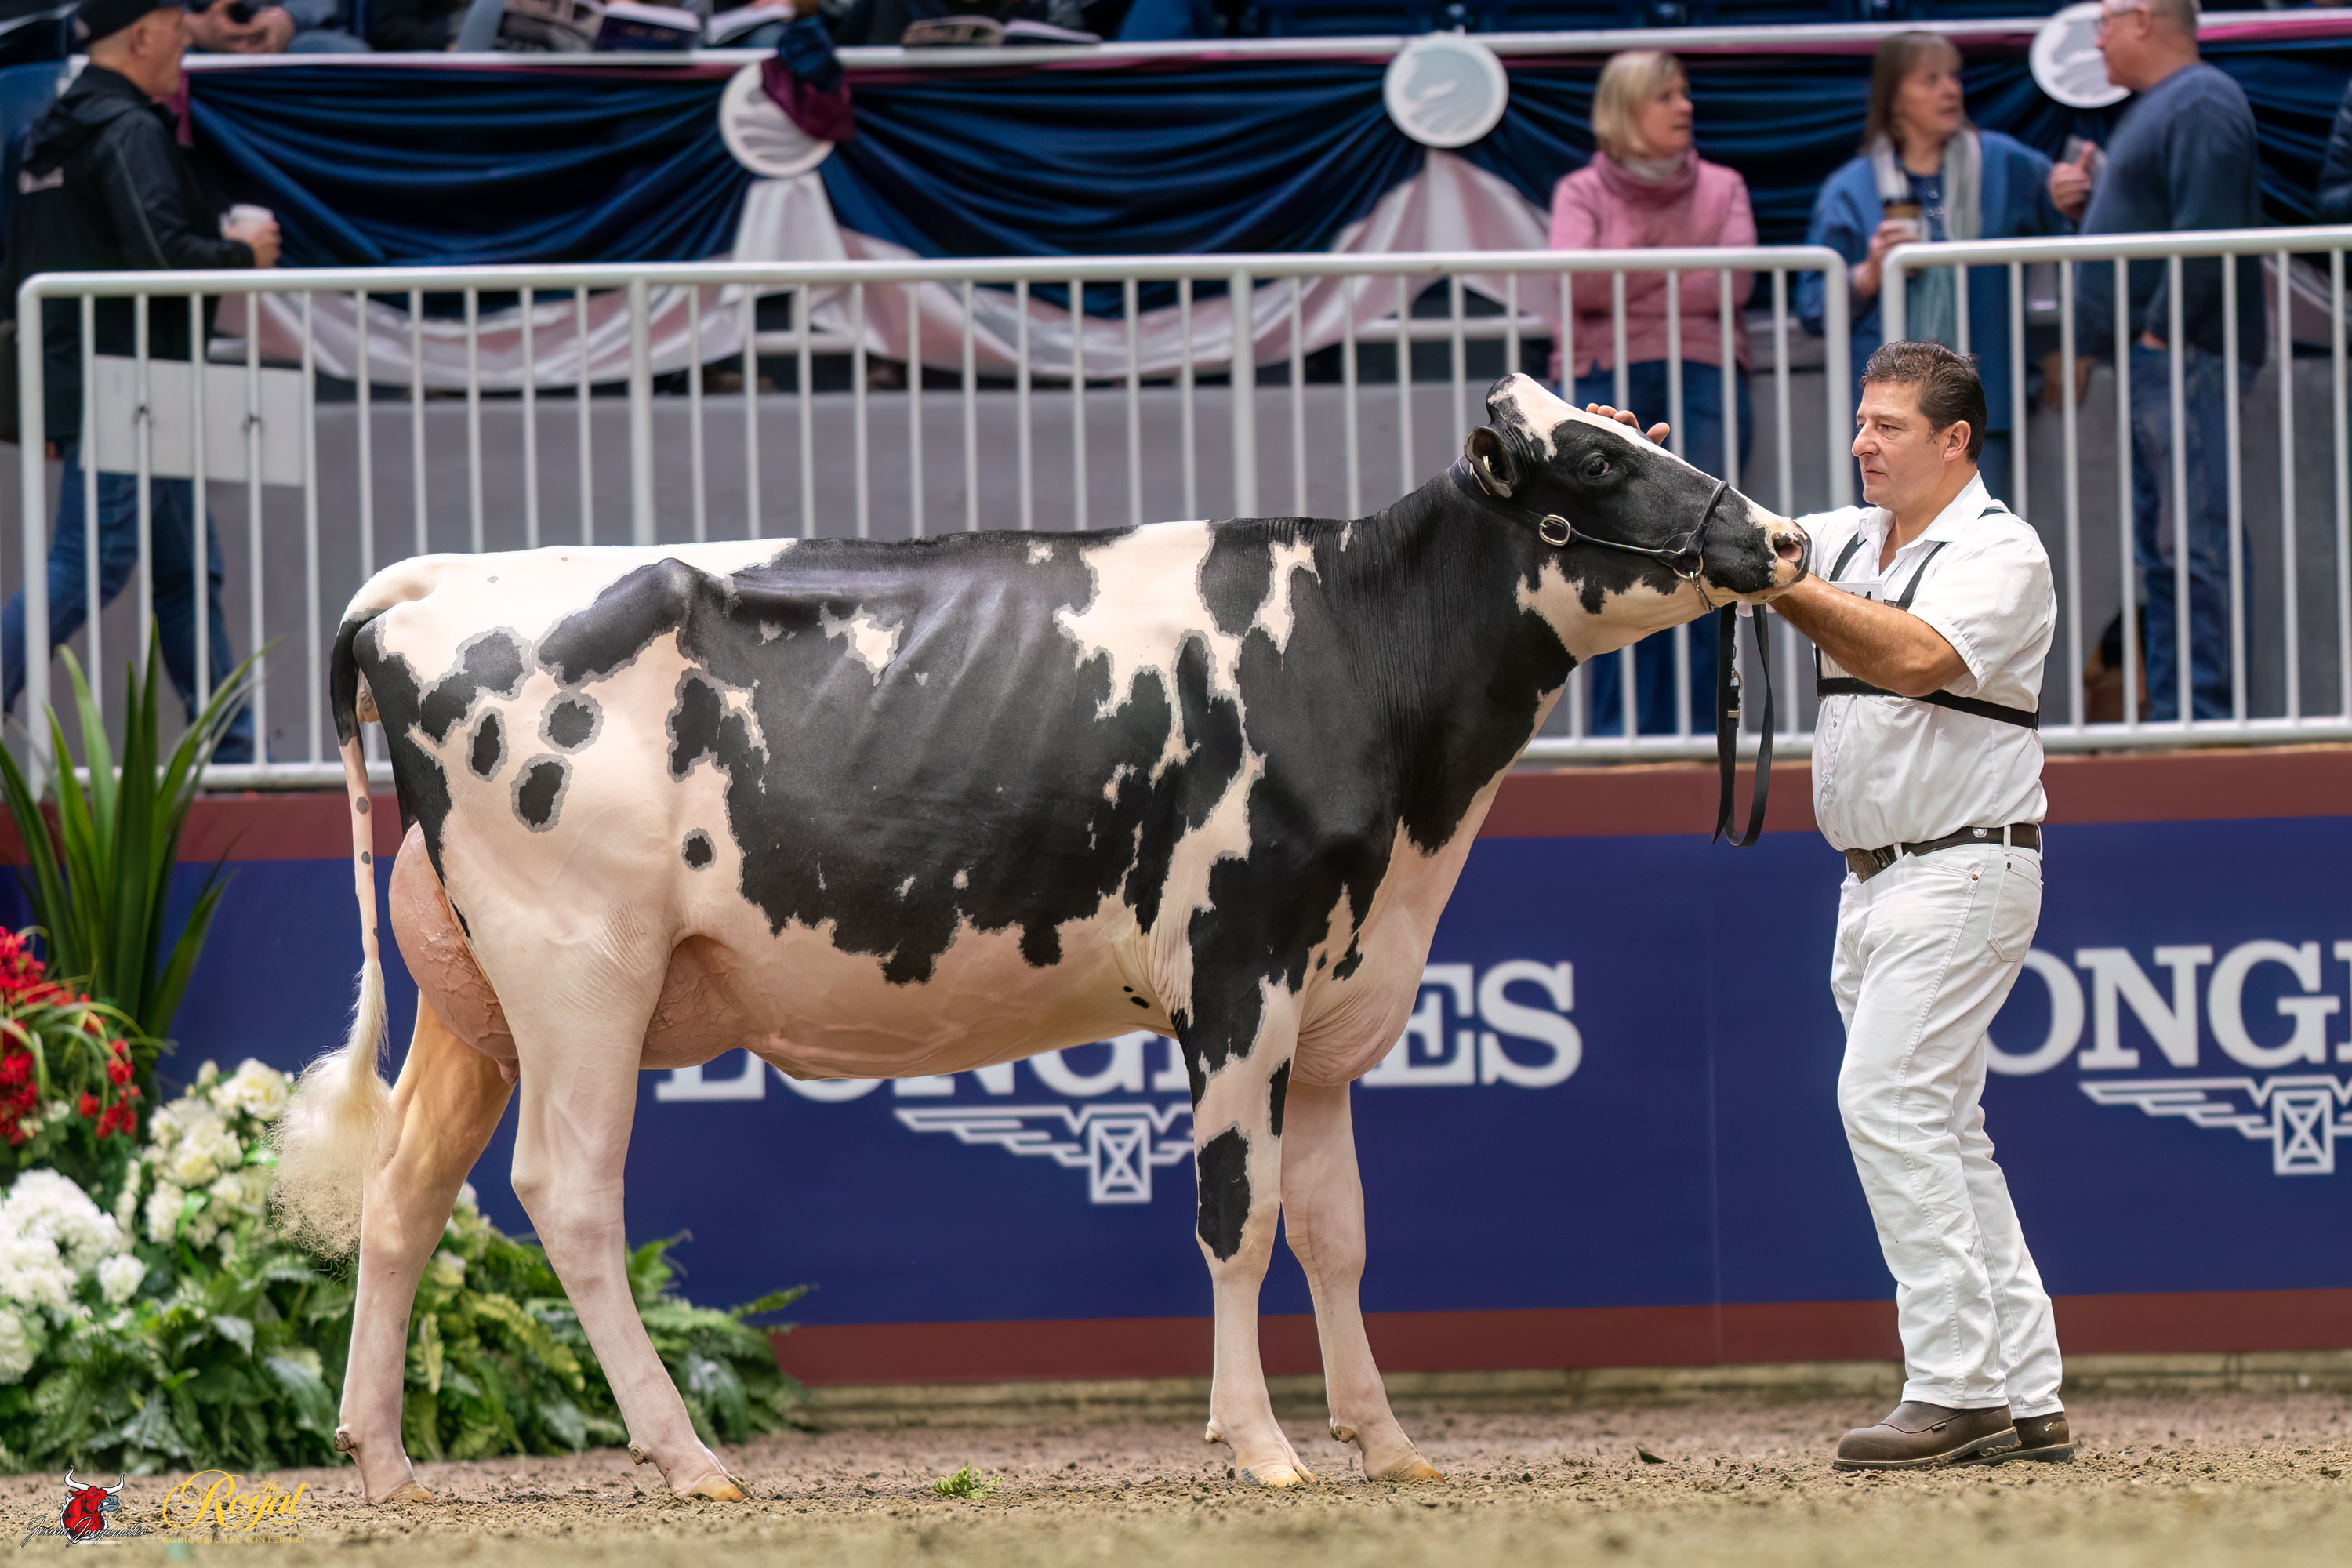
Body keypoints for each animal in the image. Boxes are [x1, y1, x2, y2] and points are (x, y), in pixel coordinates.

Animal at [273, 374, 1807, 1505]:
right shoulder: (1237, 971)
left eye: (1646, 431)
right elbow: (1240, 1220)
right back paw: (687, 1456)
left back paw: (387, 1463)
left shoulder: (1329, 998)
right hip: (580, 966)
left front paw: (1388, 1443)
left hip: (476, 998)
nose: (1783, 540)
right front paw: (1263, 1447)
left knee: (406, 1193)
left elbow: (1340, 1234)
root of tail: (424, 586)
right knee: (570, 1193)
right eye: (1592, 464)